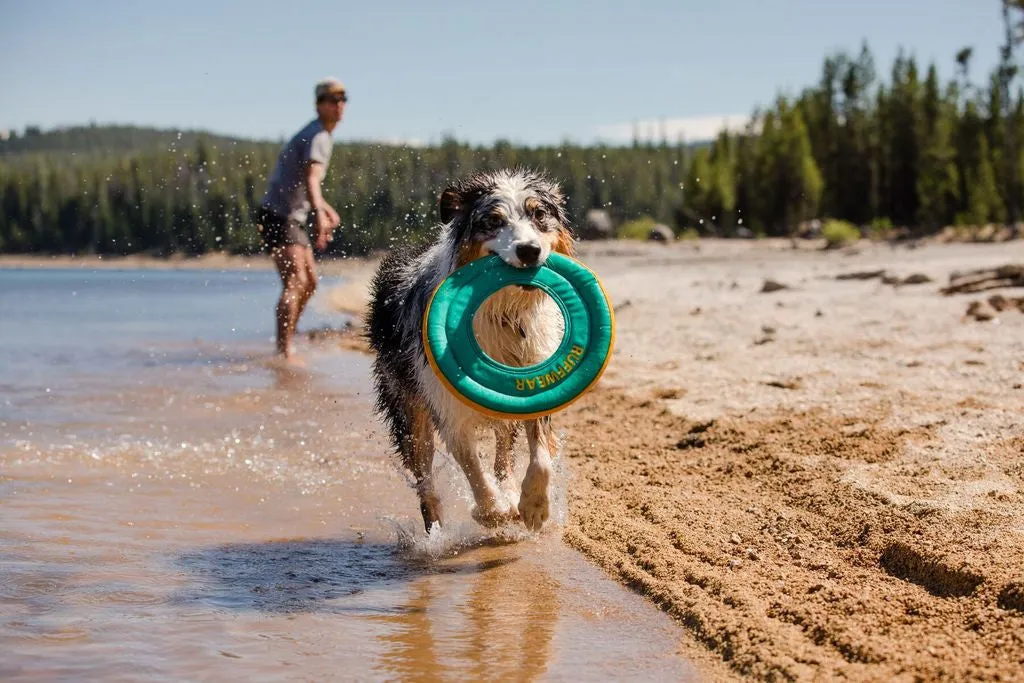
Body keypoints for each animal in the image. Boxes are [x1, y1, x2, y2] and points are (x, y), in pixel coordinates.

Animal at [366, 166, 577, 532]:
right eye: (493, 220)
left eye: (539, 215)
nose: (529, 251)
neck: (504, 313)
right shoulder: (448, 405)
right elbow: (470, 463)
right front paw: (493, 511)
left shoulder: (533, 378)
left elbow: (540, 455)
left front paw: (533, 505)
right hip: (408, 406)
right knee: (424, 476)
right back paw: (436, 530)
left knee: (503, 453)